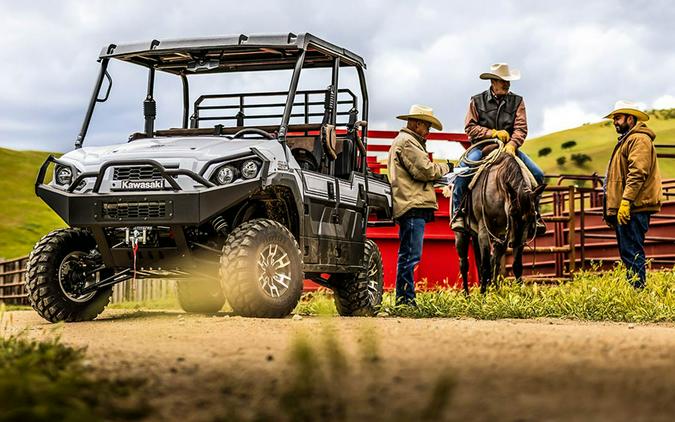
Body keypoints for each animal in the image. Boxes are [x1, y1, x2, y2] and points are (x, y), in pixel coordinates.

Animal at [456, 153, 548, 296]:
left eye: (531, 216)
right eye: (512, 212)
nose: (514, 243)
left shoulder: (519, 235)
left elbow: (516, 266)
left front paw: (521, 294)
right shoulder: (484, 230)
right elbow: (485, 266)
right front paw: (483, 296)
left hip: (498, 237)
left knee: (495, 260)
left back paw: (495, 289)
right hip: (462, 235)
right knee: (464, 264)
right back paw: (467, 295)